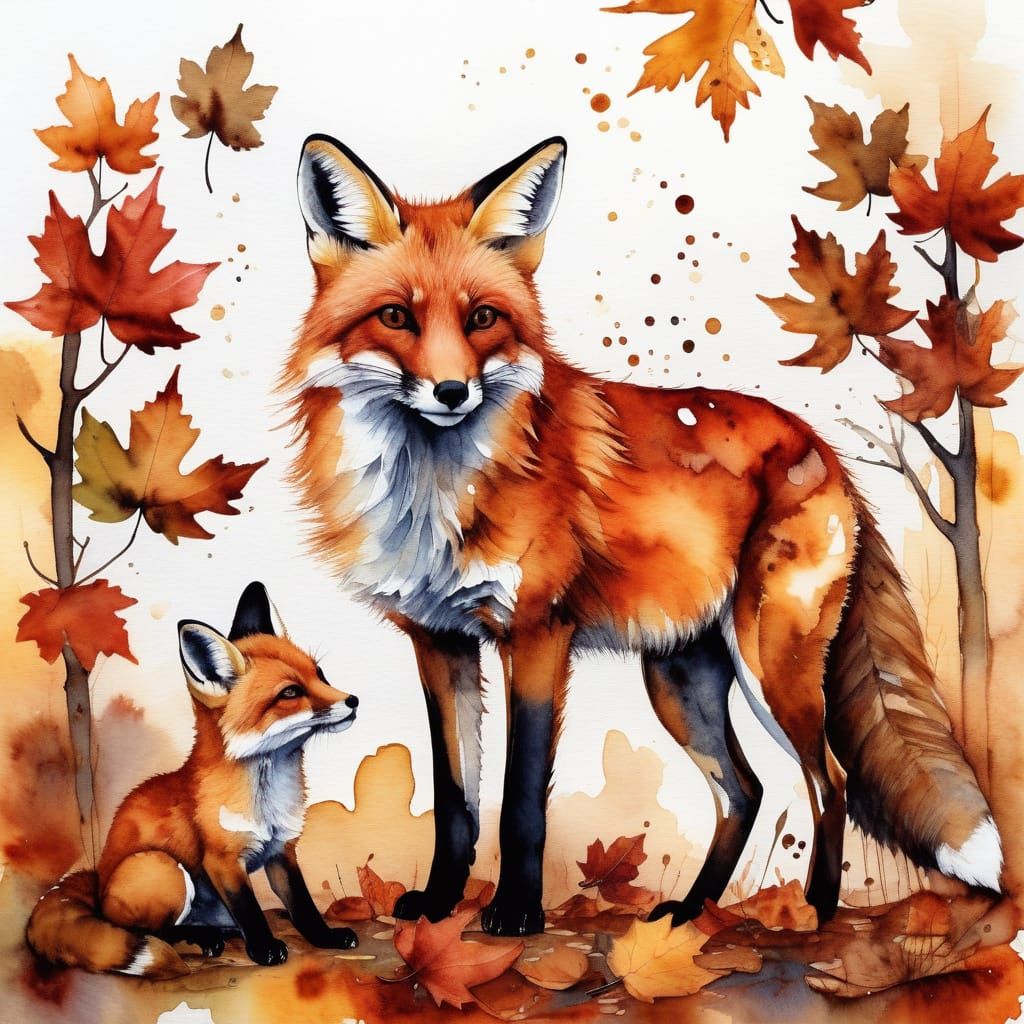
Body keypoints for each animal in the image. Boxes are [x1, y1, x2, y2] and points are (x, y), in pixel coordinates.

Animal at [26, 582, 360, 978]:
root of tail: (96, 885)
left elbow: (303, 907)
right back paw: (201, 939)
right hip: (162, 867)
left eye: (320, 674)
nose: (353, 700)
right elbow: (250, 911)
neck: (267, 797)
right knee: (146, 930)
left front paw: (325, 937)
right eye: (290, 693)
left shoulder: (282, 850)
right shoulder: (222, 860)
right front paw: (264, 949)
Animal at [282, 134, 1002, 937]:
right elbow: (456, 799)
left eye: (483, 319)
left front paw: (516, 913)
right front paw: (440, 905)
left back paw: (812, 913)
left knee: (830, 781)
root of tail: (819, 445)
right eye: (396, 317)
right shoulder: (440, 640)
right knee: (746, 790)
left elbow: (522, 798)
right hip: (679, 678)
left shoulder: (538, 633)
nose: (451, 392)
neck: (438, 495)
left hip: (770, 663)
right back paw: (688, 915)